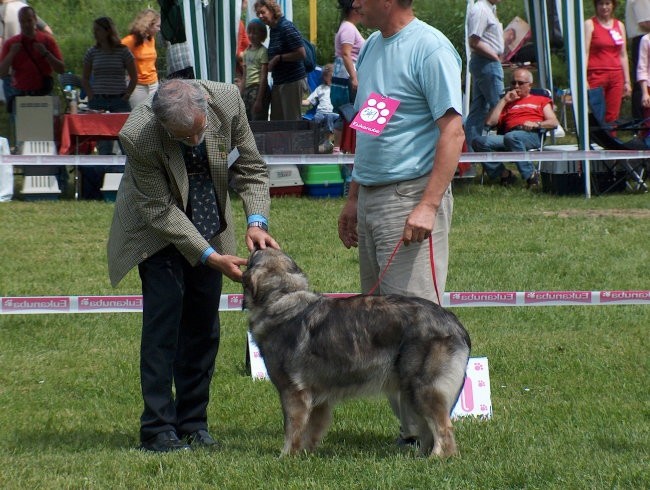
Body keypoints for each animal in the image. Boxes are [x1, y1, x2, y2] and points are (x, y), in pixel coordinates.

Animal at [240, 249, 468, 460]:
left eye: (251, 256)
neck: (282, 298)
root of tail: (453, 322)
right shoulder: (318, 399)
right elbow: (311, 430)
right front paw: (305, 454)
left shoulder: (292, 392)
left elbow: (292, 429)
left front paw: (286, 457)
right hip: (410, 391)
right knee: (429, 430)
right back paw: (421, 457)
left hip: (422, 387)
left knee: (444, 428)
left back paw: (437, 459)